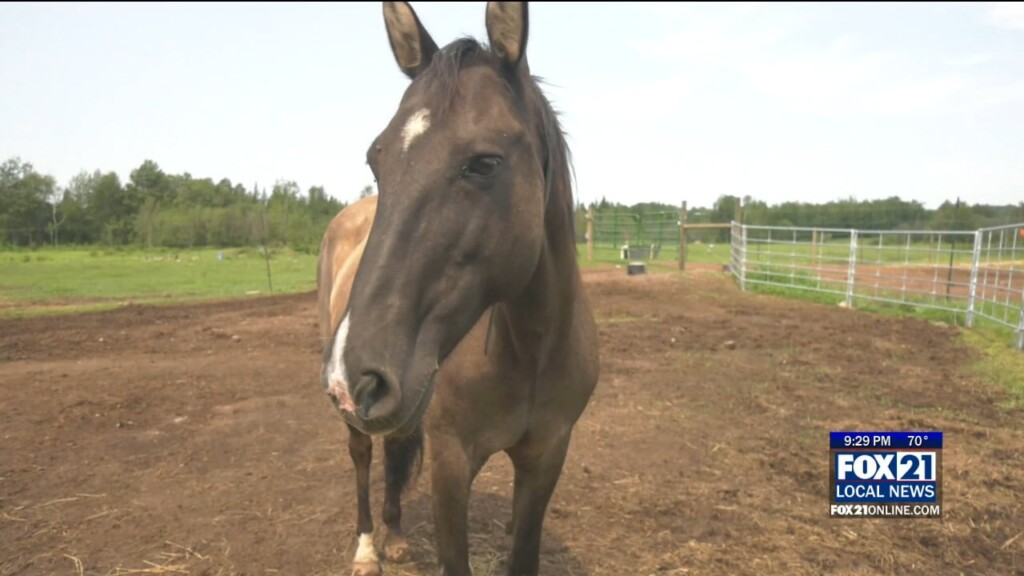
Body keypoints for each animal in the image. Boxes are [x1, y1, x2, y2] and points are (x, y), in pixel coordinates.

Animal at [316, 3, 600, 575]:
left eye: (485, 162)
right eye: (376, 159)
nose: (354, 376)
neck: (530, 353)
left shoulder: (546, 457)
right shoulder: (451, 462)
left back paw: (397, 537)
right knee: (362, 457)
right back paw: (368, 548)